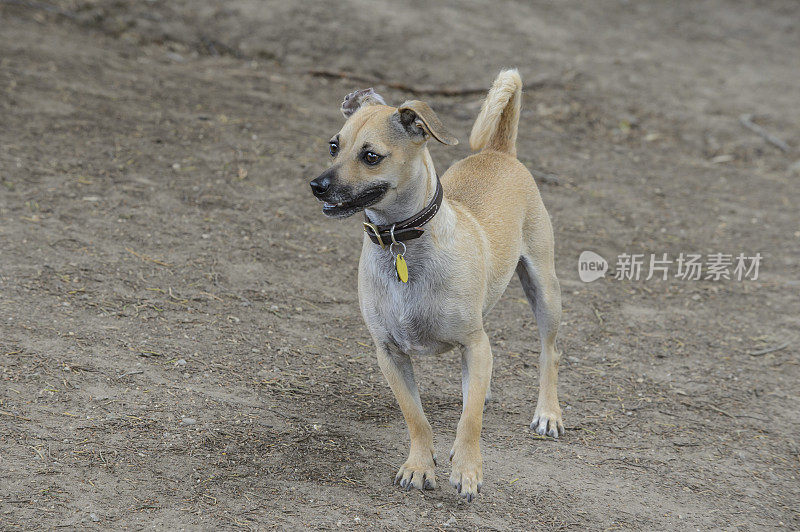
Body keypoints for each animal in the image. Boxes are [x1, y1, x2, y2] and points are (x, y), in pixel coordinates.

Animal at [308, 68, 564, 500]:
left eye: (371, 156)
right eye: (333, 147)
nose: (317, 185)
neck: (400, 241)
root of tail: (499, 152)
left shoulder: (474, 343)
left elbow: (470, 422)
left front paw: (467, 469)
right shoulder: (390, 354)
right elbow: (416, 416)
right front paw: (418, 465)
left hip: (543, 289)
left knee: (549, 353)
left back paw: (547, 412)